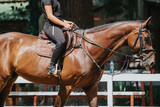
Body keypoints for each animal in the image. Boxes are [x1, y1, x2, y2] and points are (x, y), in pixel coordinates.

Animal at [0, 17, 155, 106]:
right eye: (146, 38)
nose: (152, 62)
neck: (89, 49)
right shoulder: (66, 86)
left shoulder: (91, 88)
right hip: (3, 79)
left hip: (10, 80)